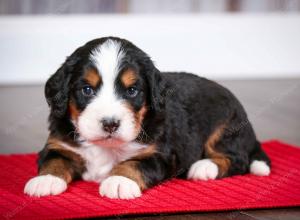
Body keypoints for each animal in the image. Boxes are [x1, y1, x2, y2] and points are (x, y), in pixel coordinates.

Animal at [24, 36, 270, 199]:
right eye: (87, 90)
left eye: (132, 91)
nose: (110, 124)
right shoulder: (58, 144)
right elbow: (54, 159)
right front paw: (46, 180)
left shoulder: (160, 153)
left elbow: (135, 163)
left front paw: (119, 180)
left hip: (225, 125)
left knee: (237, 159)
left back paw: (203, 167)